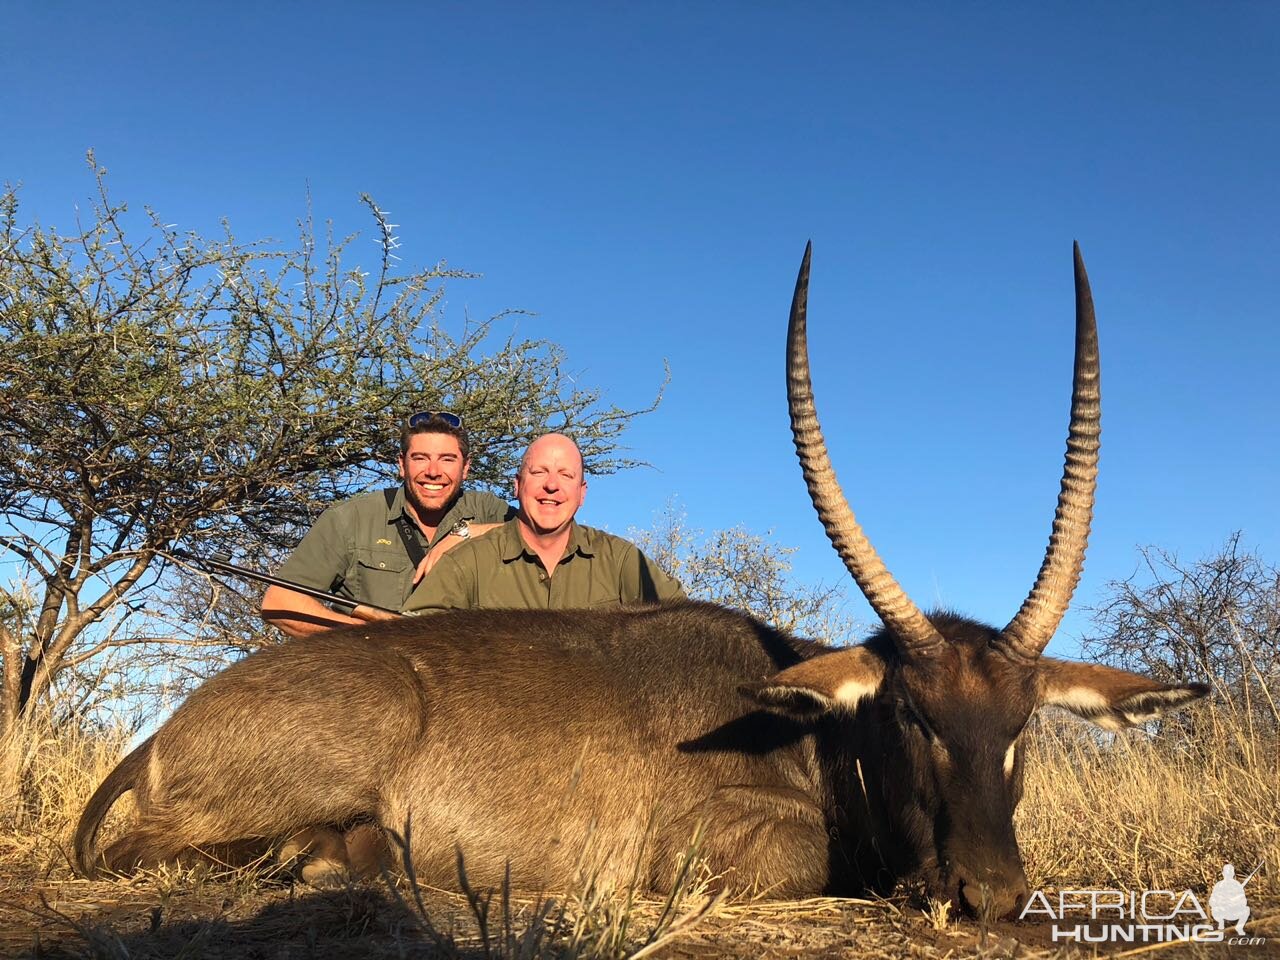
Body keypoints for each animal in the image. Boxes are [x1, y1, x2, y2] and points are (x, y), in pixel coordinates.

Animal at [74, 244, 1203, 921]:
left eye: (1021, 727)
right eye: (908, 716)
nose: (988, 896)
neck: (812, 739)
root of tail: (165, 733)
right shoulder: (710, 844)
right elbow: (799, 861)